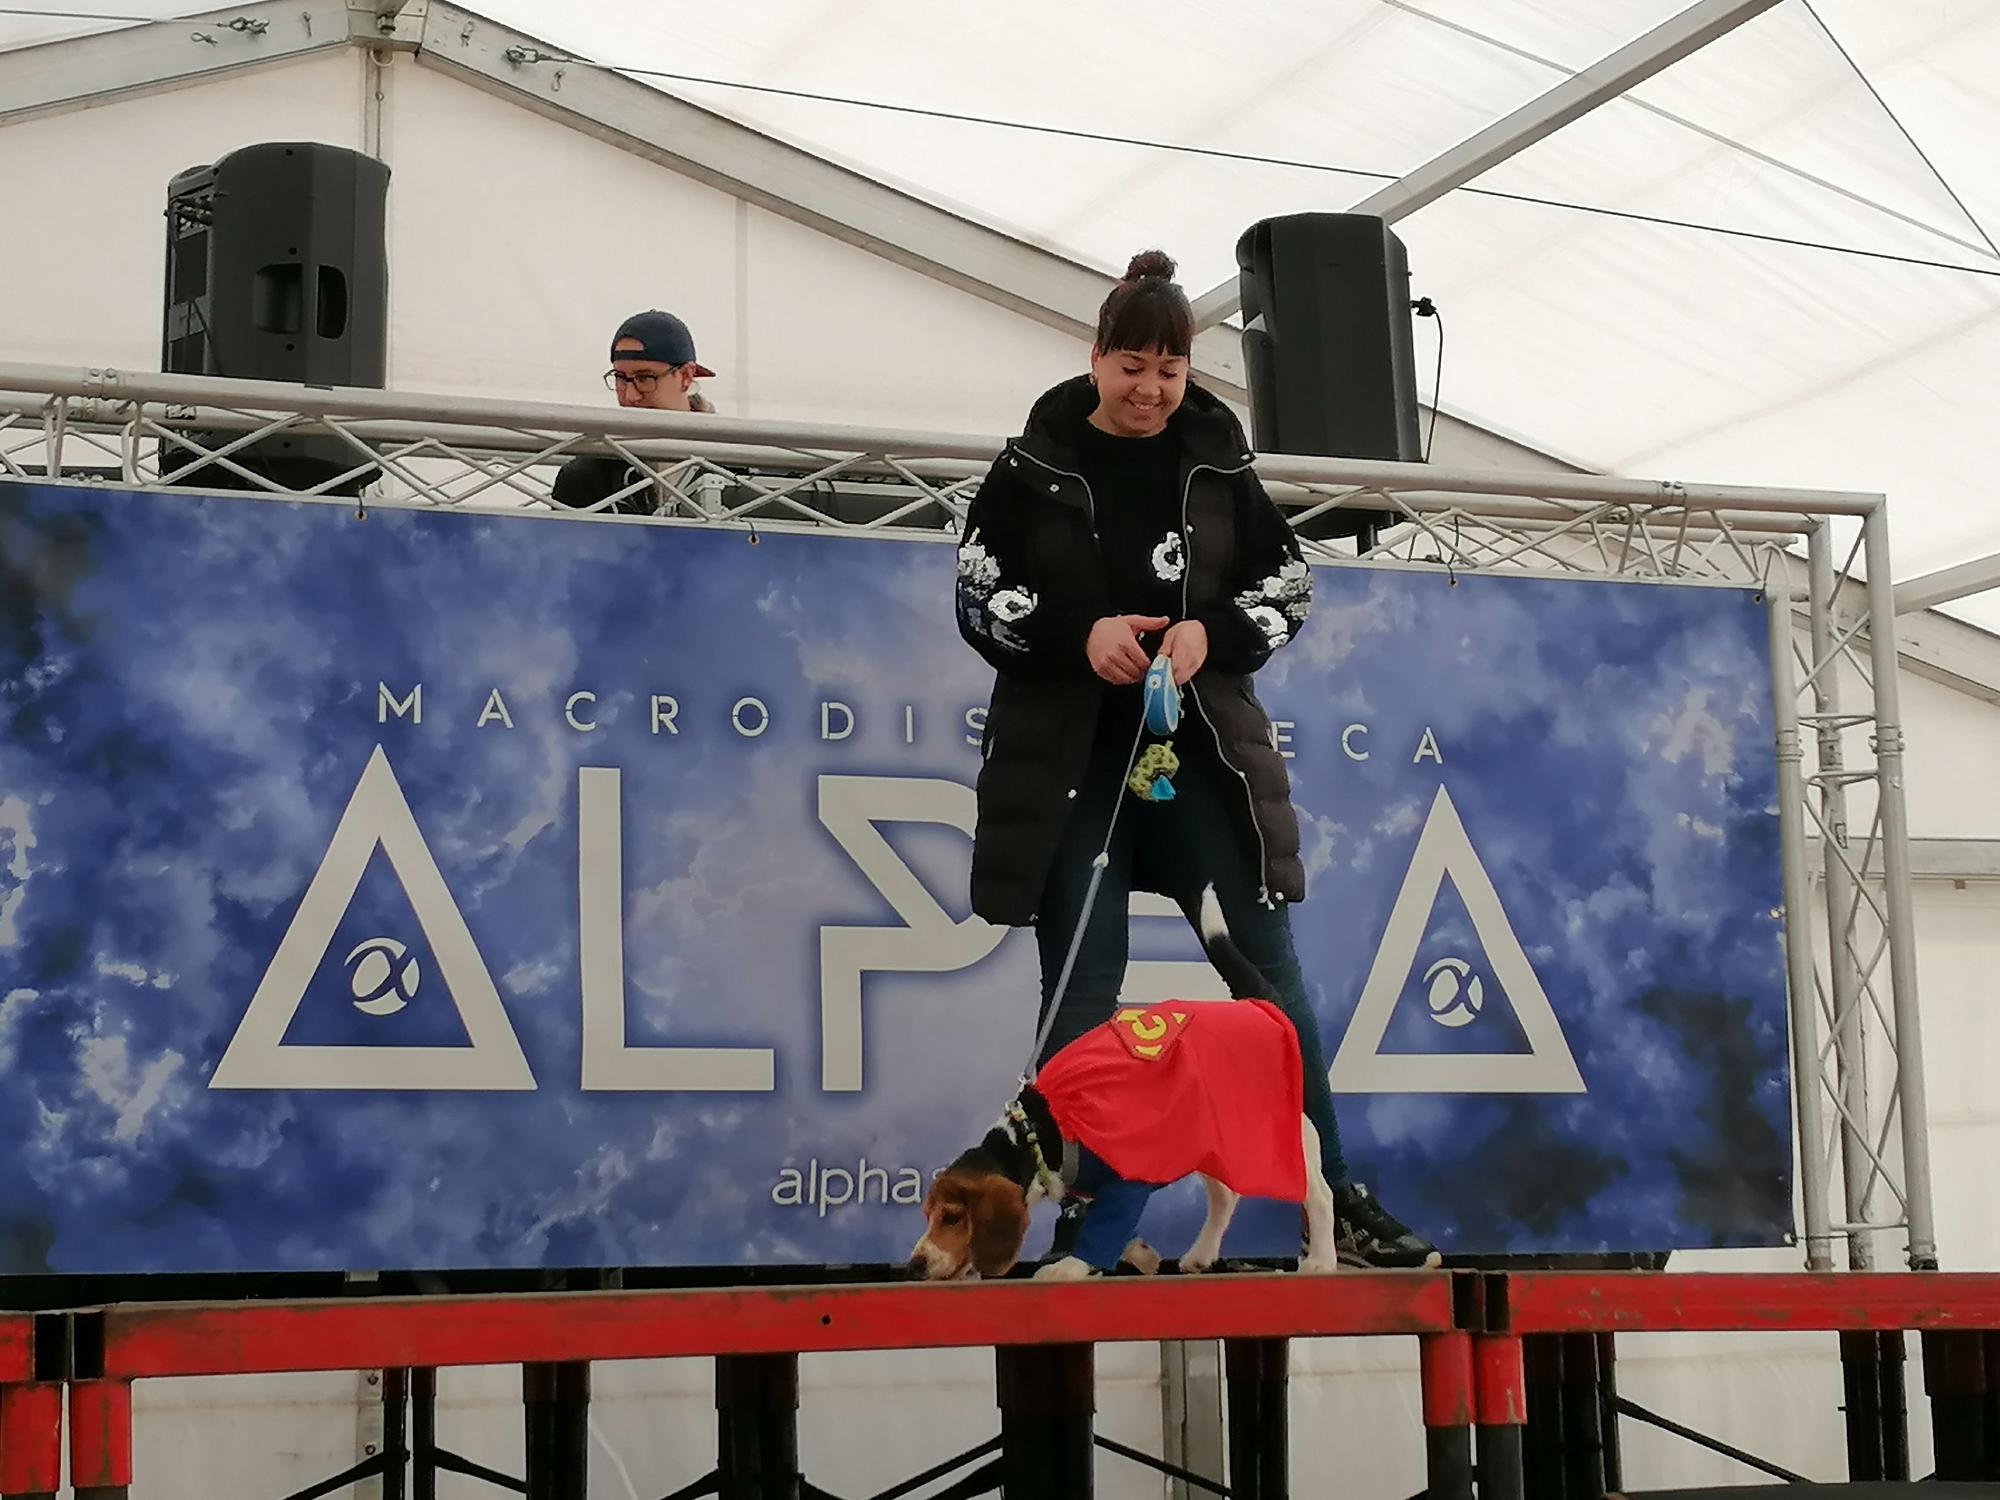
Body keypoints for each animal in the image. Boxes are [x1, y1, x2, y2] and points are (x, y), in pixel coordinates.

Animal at [916, 892, 1336, 1296]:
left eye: (953, 1217)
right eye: (928, 1215)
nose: (915, 1264)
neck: (1038, 1130)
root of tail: (1260, 1006)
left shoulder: (1126, 1179)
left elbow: (1107, 1226)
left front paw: (1071, 1267)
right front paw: (1138, 1255)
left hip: (1279, 1131)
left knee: (1318, 1195)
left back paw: (1320, 1260)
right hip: (1206, 1139)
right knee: (1224, 1197)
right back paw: (1201, 1254)